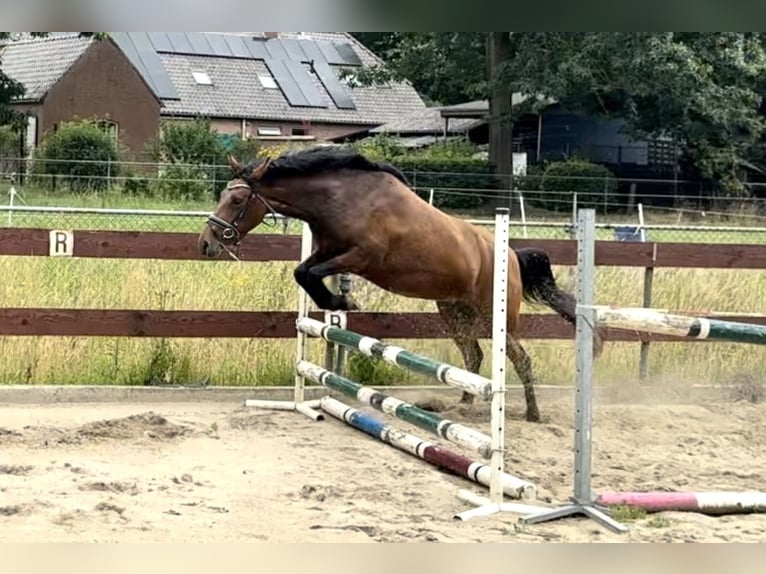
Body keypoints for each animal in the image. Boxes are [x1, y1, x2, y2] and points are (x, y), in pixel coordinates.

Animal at [198, 146, 604, 422]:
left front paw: (344, 304)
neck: (341, 197)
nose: (206, 243)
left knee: (519, 358)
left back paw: (532, 414)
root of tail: (513, 257)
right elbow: (303, 272)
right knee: (473, 355)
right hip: (454, 311)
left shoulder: (361, 257)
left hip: (496, 315)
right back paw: (464, 403)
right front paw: (338, 304)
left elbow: (311, 275)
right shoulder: (326, 251)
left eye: (236, 198)